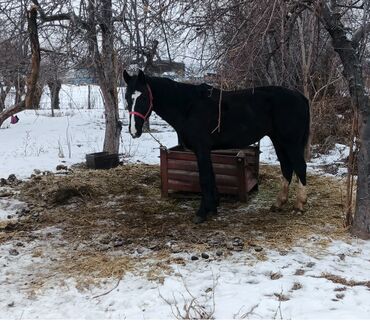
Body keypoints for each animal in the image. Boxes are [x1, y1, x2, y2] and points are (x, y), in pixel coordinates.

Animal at [123, 70, 310, 222]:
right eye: (127, 98)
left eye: (143, 97)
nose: (133, 131)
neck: (188, 107)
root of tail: (300, 97)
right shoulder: (205, 151)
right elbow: (211, 177)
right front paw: (212, 208)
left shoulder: (201, 149)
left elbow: (205, 178)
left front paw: (202, 213)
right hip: (278, 140)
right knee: (287, 168)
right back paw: (278, 204)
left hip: (290, 142)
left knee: (300, 167)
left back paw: (299, 206)